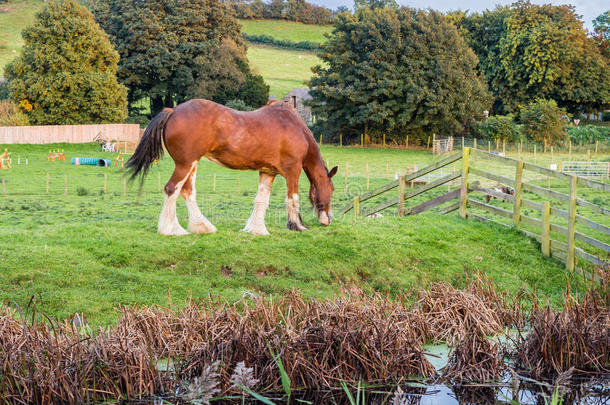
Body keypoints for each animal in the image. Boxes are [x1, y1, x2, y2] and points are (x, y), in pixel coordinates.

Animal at [125, 98, 334, 237]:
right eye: (332, 188)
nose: (327, 220)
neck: (296, 129)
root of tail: (173, 110)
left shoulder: (268, 172)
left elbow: (261, 200)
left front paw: (256, 229)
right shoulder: (293, 171)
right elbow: (292, 198)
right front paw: (297, 226)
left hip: (192, 164)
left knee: (187, 192)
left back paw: (202, 226)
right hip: (185, 164)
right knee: (171, 189)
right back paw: (172, 229)